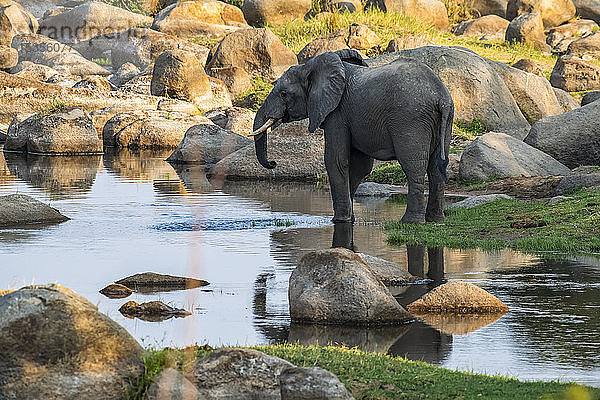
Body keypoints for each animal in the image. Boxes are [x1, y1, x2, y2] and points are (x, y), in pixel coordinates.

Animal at [251, 48, 452, 223]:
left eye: (284, 94)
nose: (273, 163)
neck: (310, 67)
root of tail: (441, 97)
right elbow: (360, 167)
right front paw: (350, 219)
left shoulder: (337, 113)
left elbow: (336, 159)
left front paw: (339, 220)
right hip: (444, 120)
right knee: (437, 166)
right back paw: (436, 220)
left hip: (410, 119)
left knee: (413, 166)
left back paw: (410, 222)